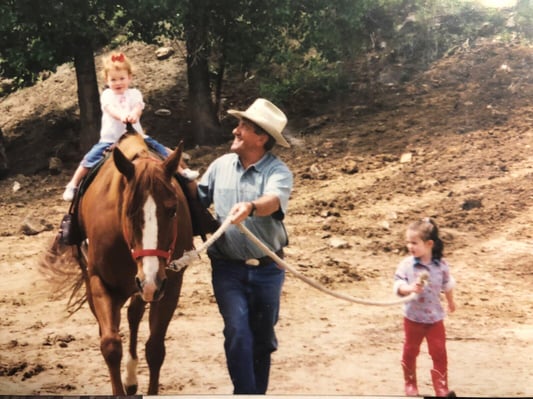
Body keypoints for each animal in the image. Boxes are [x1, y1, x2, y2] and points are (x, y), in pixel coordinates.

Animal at [40, 132, 193, 396]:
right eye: (129, 211)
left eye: (172, 210)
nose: (150, 280)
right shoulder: (100, 282)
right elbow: (110, 345)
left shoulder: (169, 284)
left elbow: (155, 349)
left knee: (134, 315)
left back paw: (131, 377)